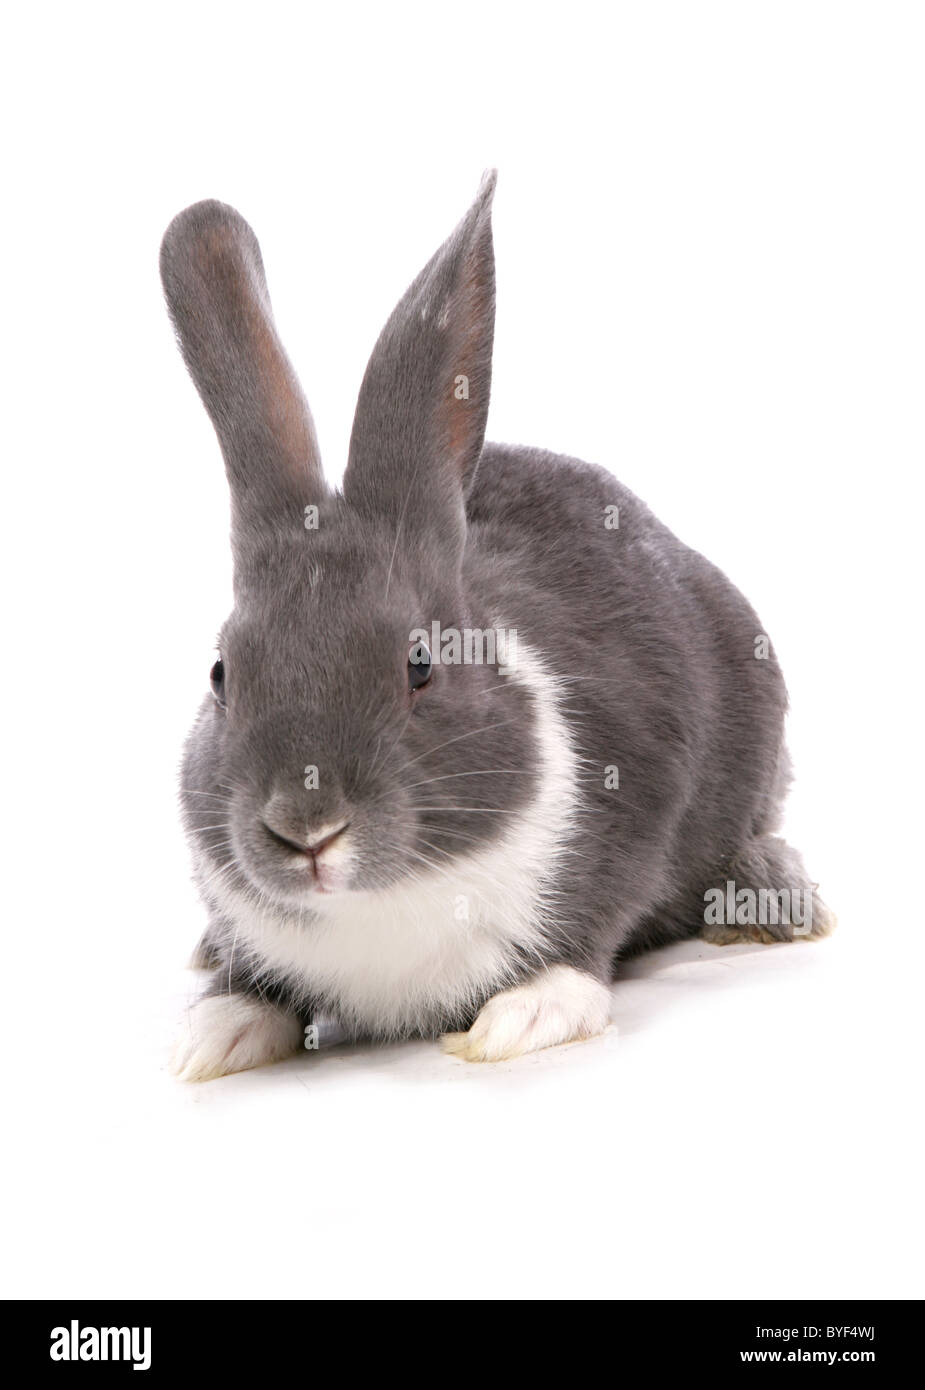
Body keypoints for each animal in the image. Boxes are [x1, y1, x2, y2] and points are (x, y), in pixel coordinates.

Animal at [162, 170, 834, 1084]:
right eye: (221, 674)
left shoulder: (637, 800)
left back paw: (771, 899)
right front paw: (213, 1030)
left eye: (420, 663)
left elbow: (583, 938)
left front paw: (524, 1014)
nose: (306, 830)